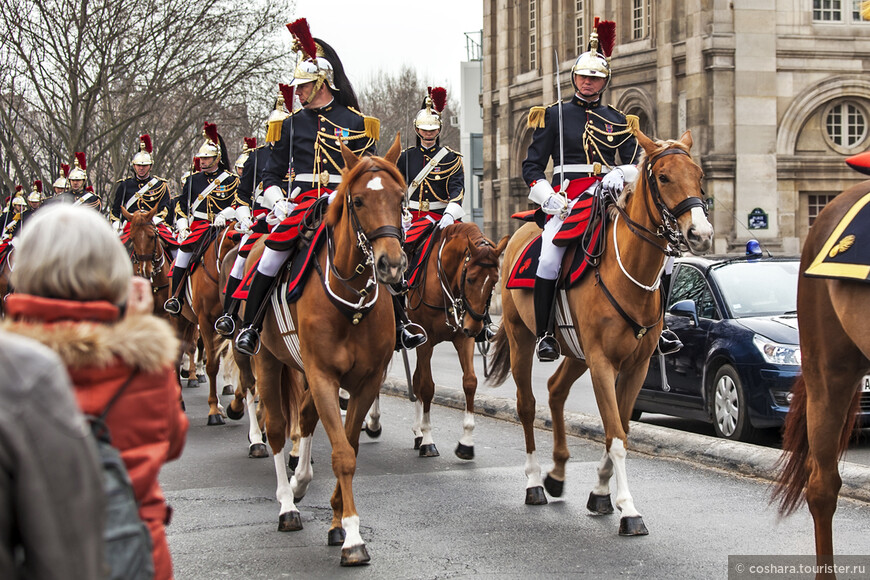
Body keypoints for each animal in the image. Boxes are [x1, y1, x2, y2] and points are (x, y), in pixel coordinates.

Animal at [247, 136, 408, 568]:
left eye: (401, 198)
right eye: (358, 201)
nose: (391, 265)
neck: (350, 303)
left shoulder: (366, 381)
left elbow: (348, 447)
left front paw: (338, 522)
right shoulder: (321, 375)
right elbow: (341, 454)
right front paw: (352, 536)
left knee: (304, 418)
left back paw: (301, 482)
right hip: (267, 361)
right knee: (276, 428)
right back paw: (288, 504)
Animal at [396, 222, 510, 458]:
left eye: (495, 281)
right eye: (470, 278)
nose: (475, 328)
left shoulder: (463, 339)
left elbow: (470, 382)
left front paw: (466, 442)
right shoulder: (426, 343)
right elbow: (427, 386)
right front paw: (428, 440)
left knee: (415, 378)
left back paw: (416, 433)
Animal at [488, 129, 712, 536]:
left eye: (699, 175)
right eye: (664, 177)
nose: (700, 234)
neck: (630, 274)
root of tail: (523, 228)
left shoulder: (635, 366)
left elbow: (620, 429)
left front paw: (601, 493)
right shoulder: (603, 363)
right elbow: (616, 436)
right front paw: (628, 509)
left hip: (575, 352)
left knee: (555, 390)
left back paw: (557, 474)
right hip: (521, 340)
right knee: (527, 405)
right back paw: (534, 482)